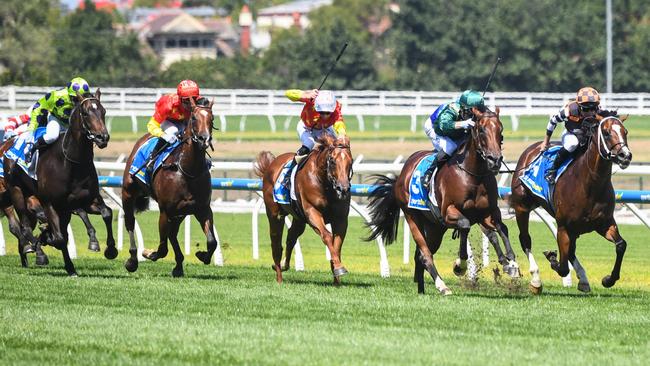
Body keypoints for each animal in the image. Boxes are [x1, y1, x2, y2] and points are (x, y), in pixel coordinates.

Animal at [3, 90, 111, 276]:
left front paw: (110, 249)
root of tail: (9, 143)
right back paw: (36, 251)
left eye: (103, 111)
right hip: (16, 192)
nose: (102, 137)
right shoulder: (49, 203)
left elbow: (107, 213)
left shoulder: (85, 200)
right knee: (23, 227)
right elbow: (59, 238)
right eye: (85, 113)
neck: (71, 163)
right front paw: (47, 241)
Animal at [123, 97, 219, 278]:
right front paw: (149, 253)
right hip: (128, 192)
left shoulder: (202, 208)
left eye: (212, 118)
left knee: (173, 234)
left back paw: (179, 266)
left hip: (180, 213)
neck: (187, 170)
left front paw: (202, 255)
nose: (204, 139)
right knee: (130, 223)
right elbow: (162, 248)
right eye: (194, 118)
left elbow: (212, 241)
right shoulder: (165, 210)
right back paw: (132, 260)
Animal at [254, 134, 354, 284]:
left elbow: (337, 244)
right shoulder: (312, 212)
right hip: (274, 214)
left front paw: (337, 275)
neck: (324, 183)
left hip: (299, 218)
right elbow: (327, 236)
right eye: (332, 161)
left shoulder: (341, 219)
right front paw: (338, 267)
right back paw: (279, 277)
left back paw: (284, 264)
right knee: (276, 243)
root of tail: (271, 165)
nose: (343, 189)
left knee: (291, 236)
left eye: (350, 161)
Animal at [362, 108, 512, 294]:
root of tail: (401, 176)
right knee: (425, 254)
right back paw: (442, 286)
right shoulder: (449, 212)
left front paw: (510, 262)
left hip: (435, 227)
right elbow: (465, 226)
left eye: (501, 131)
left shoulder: (486, 212)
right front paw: (460, 265)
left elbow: (499, 229)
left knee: (420, 255)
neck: (473, 175)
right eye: (482, 130)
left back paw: (421, 288)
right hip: (413, 217)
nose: (495, 160)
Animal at [508, 113, 632, 294]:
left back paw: (584, 279)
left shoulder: (604, 223)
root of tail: (531, 149)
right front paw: (552, 258)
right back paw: (536, 280)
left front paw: (608, 279)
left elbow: (621, 245)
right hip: (522, 208)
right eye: (607, 133)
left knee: (571, 251)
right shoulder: (563, 226)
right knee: (526, 240)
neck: (590, 184)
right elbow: (563, 266)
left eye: (625, 132)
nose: (625, 155)